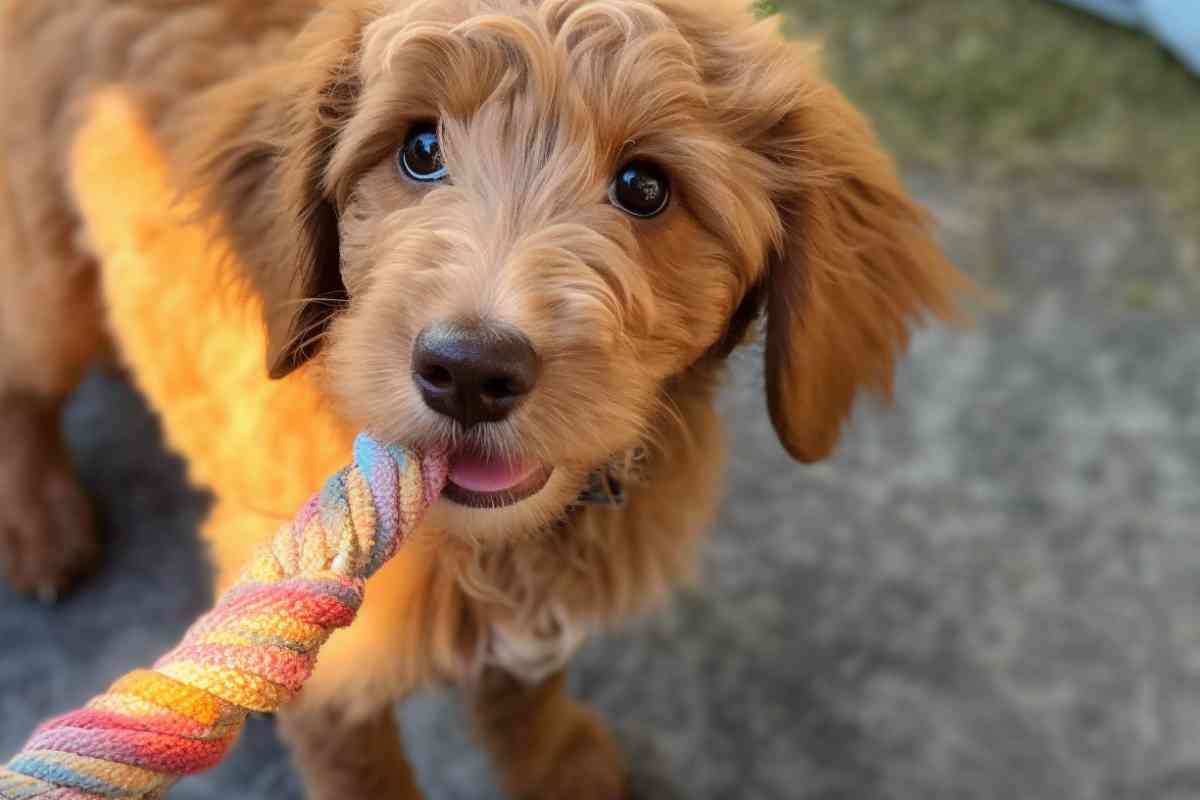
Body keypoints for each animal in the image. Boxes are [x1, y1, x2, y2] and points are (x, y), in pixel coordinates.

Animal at [0, 1, 964, 796]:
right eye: (421, 151)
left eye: (645, 187)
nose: (467, 369)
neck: (495, 546)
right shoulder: (321, 667)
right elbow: (366, 777)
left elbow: (527, 693)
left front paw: (558, 767)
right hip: (49, 288)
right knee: (23, 381)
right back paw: (41, 527)